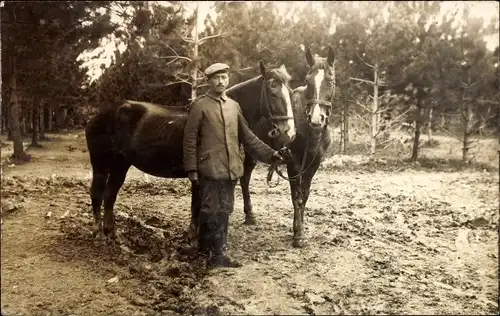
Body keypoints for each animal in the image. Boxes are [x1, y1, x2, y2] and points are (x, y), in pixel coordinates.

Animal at [84, 61, 294, 239]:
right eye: (272, 89)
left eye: (290, 90)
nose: (289, 132)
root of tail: (100, 115)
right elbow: (198, 206)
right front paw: (194, 237)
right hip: (101, 163)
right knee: (97, 193)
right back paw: (99, 233)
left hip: (121, 163)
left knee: (110, 194)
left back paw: (112, 233)